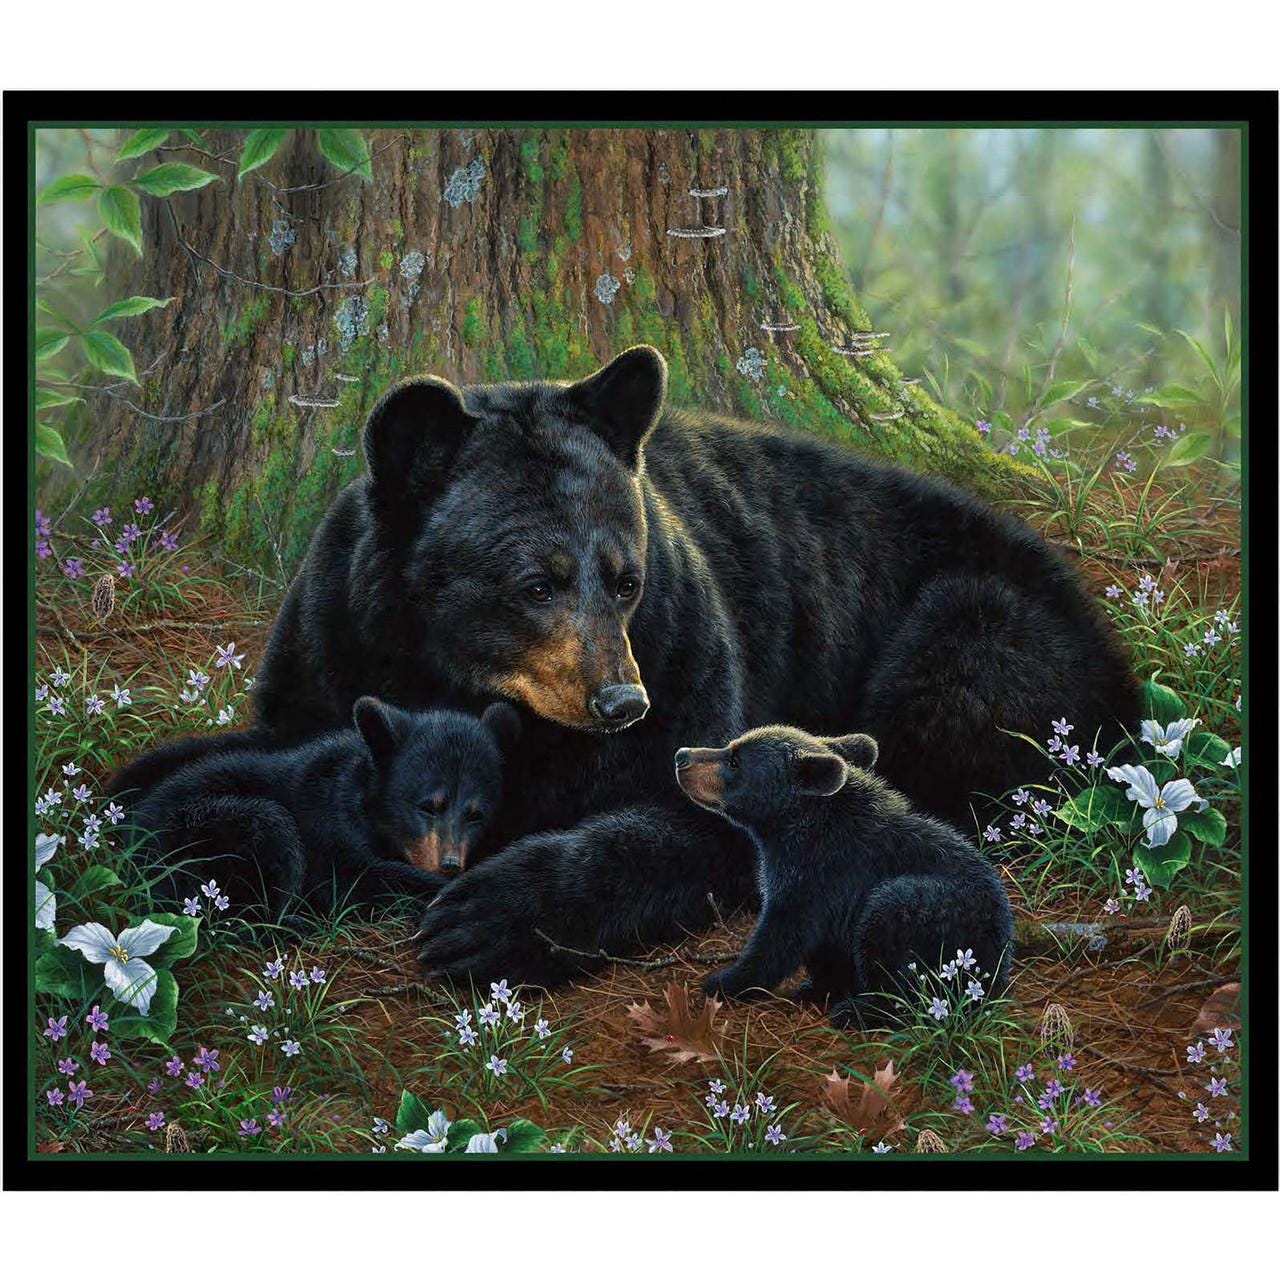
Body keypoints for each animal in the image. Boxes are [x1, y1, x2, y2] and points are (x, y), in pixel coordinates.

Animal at [128, 698, 520, 922]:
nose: (450, 864)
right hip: (206, 828)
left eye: (476, 814)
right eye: (428, 806)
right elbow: (354, 880)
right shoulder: (327, 827)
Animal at [674, 724, 1014, 1028]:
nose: (681, 755)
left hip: (923, 909)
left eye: (735, 761)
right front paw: (819, 986)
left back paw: (859, 1011)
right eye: (730, 747)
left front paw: (725, 981)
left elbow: (780, 938)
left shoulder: (816, 877)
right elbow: (823, 946)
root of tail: (994, 967)